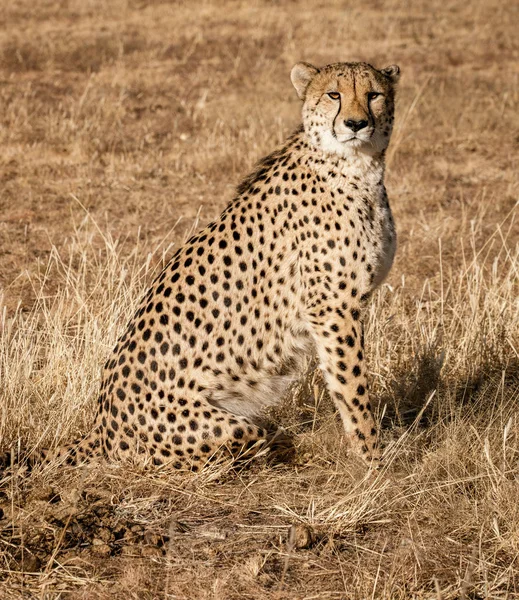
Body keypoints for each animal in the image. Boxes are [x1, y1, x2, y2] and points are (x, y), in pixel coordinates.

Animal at [44, 61, 402, 472]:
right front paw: (374, 460)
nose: (356, 124)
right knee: (251, 448)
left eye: (373, 95)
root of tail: (100, 427)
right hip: (228, 428)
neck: (357, 164)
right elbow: (353, 387)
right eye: (334, 94)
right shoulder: (333, 309)